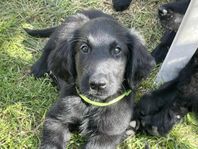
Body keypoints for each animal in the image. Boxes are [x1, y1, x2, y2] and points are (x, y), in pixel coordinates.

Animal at [25, 9, 155, 148]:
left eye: (117, 50)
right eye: (84, 48)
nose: (97, 84)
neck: (92, 104)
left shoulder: (108, 133)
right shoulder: (56, 119)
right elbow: (52, 143)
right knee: (48, 51)